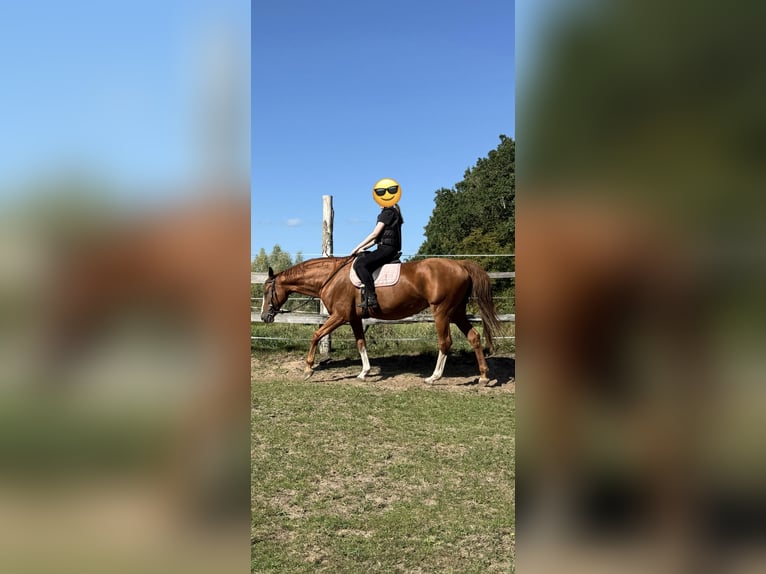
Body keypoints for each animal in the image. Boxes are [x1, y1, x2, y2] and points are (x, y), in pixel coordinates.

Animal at [260, 256, 502, 384]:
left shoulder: (339, 316)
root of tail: (461, 264)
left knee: (445, 342)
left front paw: (308, 369)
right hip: (456, 312)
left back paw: (434, 377)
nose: (264, 316)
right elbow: (361, 343)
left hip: (441, 312)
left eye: (265, 291)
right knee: (474, 337)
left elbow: (316, 335)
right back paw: (483, 377)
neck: (330, 277)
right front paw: (364, 372)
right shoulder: (353, 318)